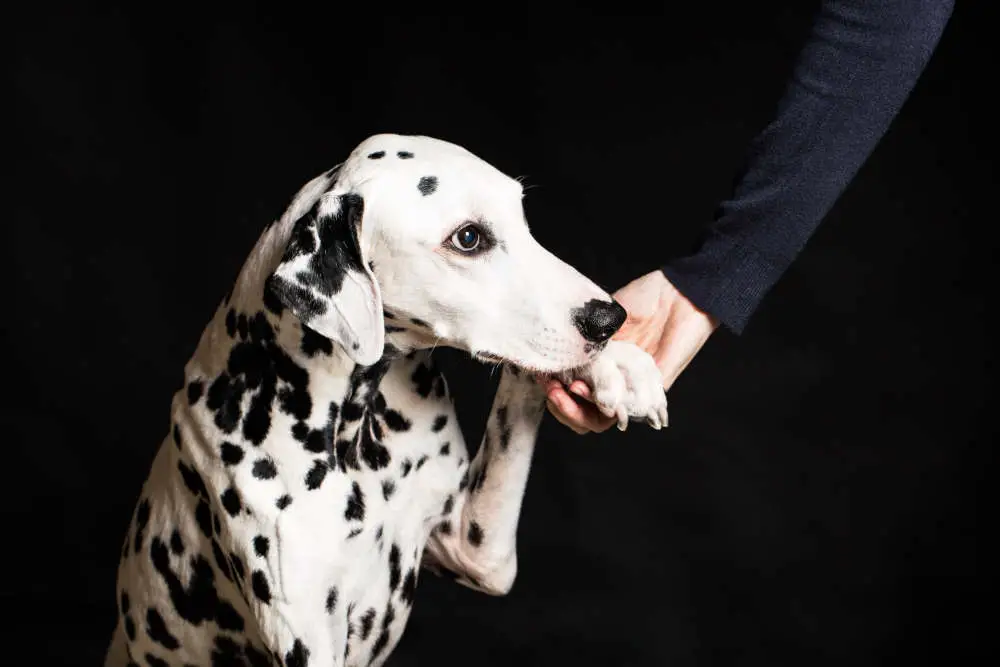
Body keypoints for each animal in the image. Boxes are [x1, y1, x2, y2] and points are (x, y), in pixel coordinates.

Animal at [103, 134, 664, 667]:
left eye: (523, 219)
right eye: (468, 238)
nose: (608, 319)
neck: (353, 429)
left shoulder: (478, 550)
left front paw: (616, 368)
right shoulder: (307, 638)